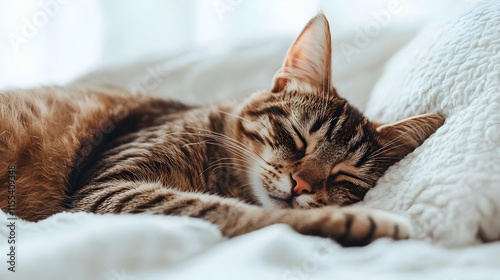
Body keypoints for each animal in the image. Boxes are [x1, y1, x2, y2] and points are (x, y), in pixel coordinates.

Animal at [0, 14, 446, 246]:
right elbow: (233, 211)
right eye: (297, 138)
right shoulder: (107, 188)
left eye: (345, 176)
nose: (302, 185)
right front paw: (354, 220)